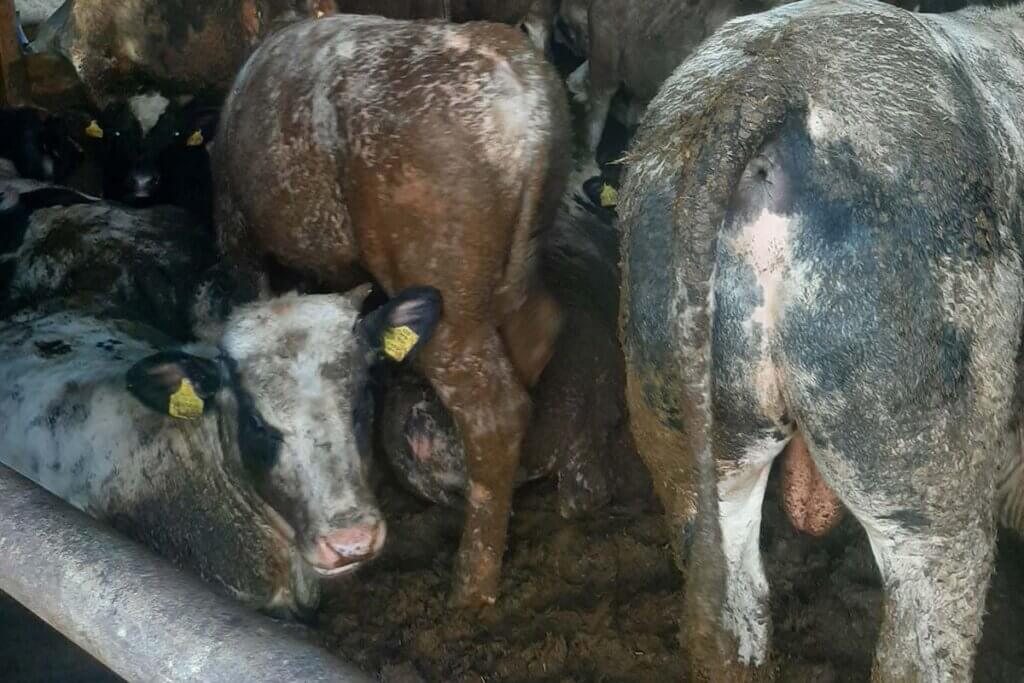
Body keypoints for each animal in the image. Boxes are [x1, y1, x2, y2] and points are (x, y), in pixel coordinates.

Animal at [214, 15, 570, 607]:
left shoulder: (237, 228)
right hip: (518, 267)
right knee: (538, 334)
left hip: (446, 292)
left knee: (493, 411)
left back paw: (471, 586)